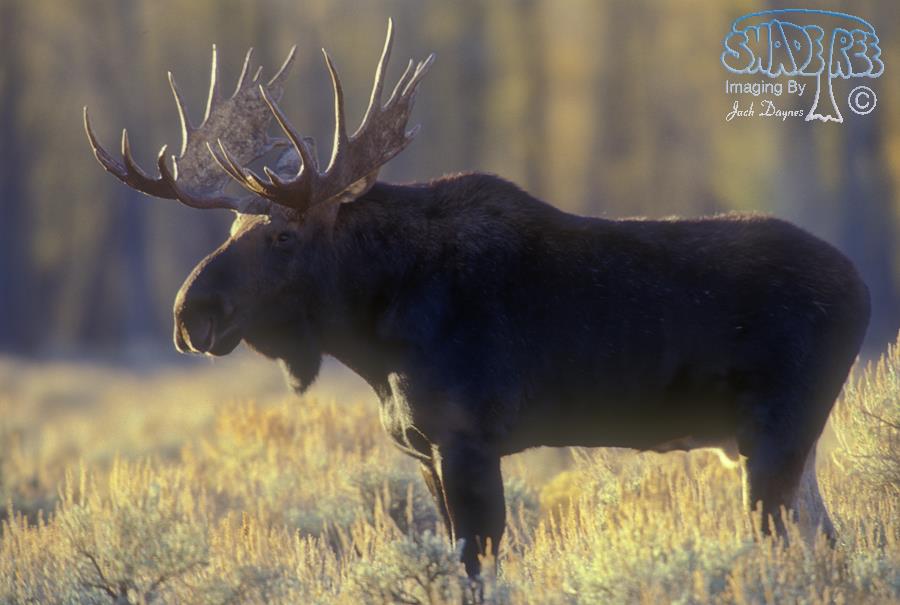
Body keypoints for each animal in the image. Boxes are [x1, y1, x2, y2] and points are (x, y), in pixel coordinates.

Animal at [85, 21, 870, 577]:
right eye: (232, 226)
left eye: (280, 233)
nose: (190, 314)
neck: (374, 337)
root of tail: (862, 288)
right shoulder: (424, 450)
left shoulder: (466, 438)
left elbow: (477, 563)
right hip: (770, 444)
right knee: (826, 543)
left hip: (776, 434)